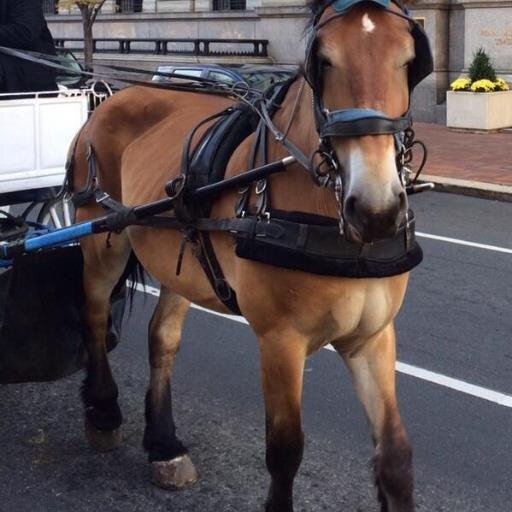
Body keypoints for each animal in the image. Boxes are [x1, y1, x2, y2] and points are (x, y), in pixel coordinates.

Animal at [68, 2, 428, 510]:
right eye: (323, 61)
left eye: (409, 59)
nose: (376, 211)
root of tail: (112, 95)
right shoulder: (280, 340)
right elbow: (285, 450)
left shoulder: (372, 336)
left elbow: (395, 456)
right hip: (103, 237)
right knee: (96, 314)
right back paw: (103, 411)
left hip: (182, 256)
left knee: (162, 338)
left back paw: (164, 445)